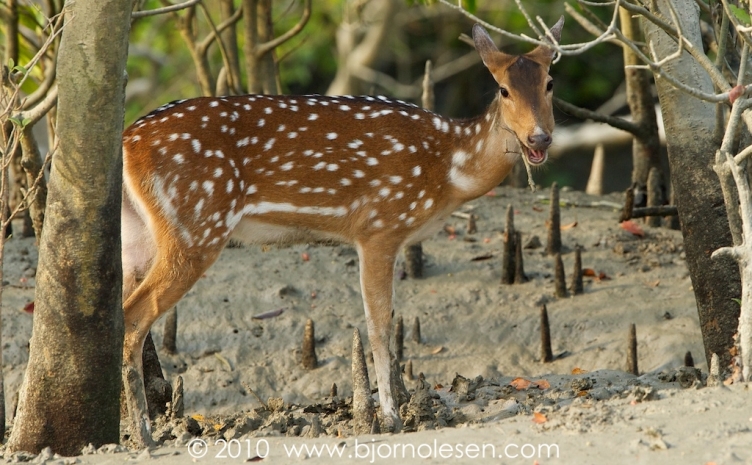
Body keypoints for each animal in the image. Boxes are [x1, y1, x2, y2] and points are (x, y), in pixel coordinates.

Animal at [119, 19, 564, 442]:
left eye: (549, 83)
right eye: (503, 90)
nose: (539, 137)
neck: (450, 172)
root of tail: (127, 140)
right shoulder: (381, 224)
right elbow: (379, 324)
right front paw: (390, 417)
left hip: (139, 235)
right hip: (197, 224)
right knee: (133, 317)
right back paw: (144, 435)